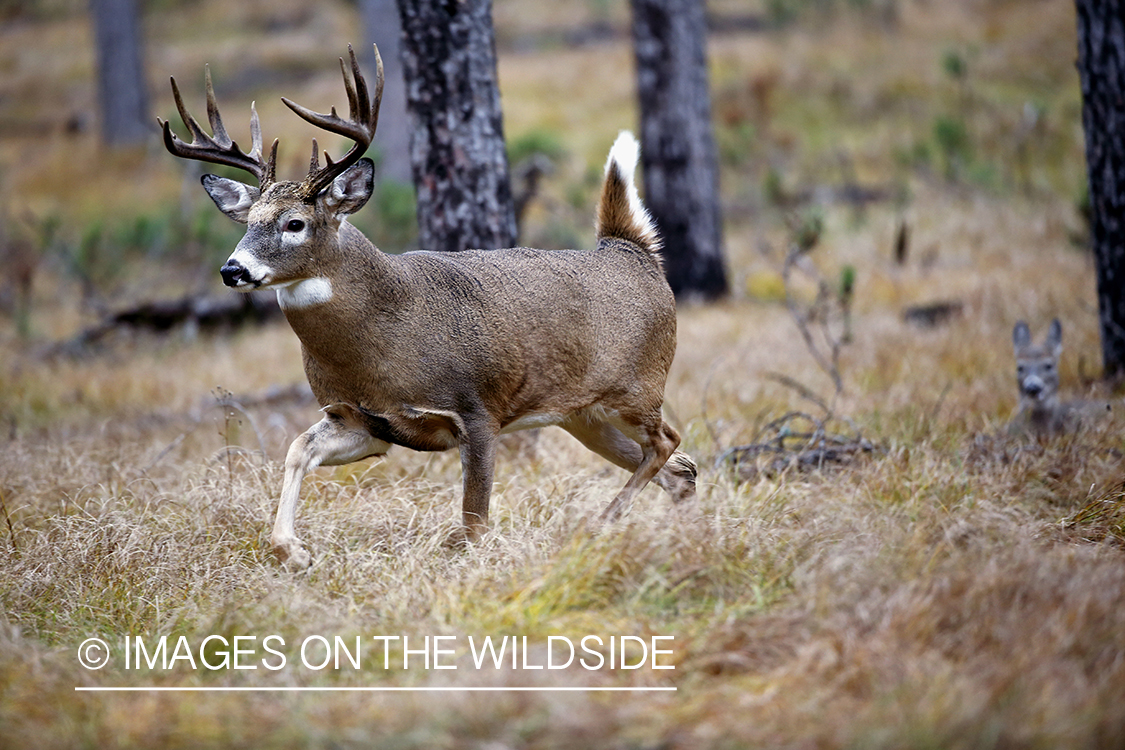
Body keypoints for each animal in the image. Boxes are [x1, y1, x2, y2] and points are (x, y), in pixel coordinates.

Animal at [160, 44, 693, 568]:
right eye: (248, 219)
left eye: (295, 223)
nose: (233, 270)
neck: (383, 341)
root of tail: (630, 250)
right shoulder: (361, 420)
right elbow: (296, 449)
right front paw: (292, 549)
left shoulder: (477, 409)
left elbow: (474, 521)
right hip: (581, 413)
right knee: (681, 470)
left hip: (636, 387)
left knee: (669, 442)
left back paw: (601, 525)